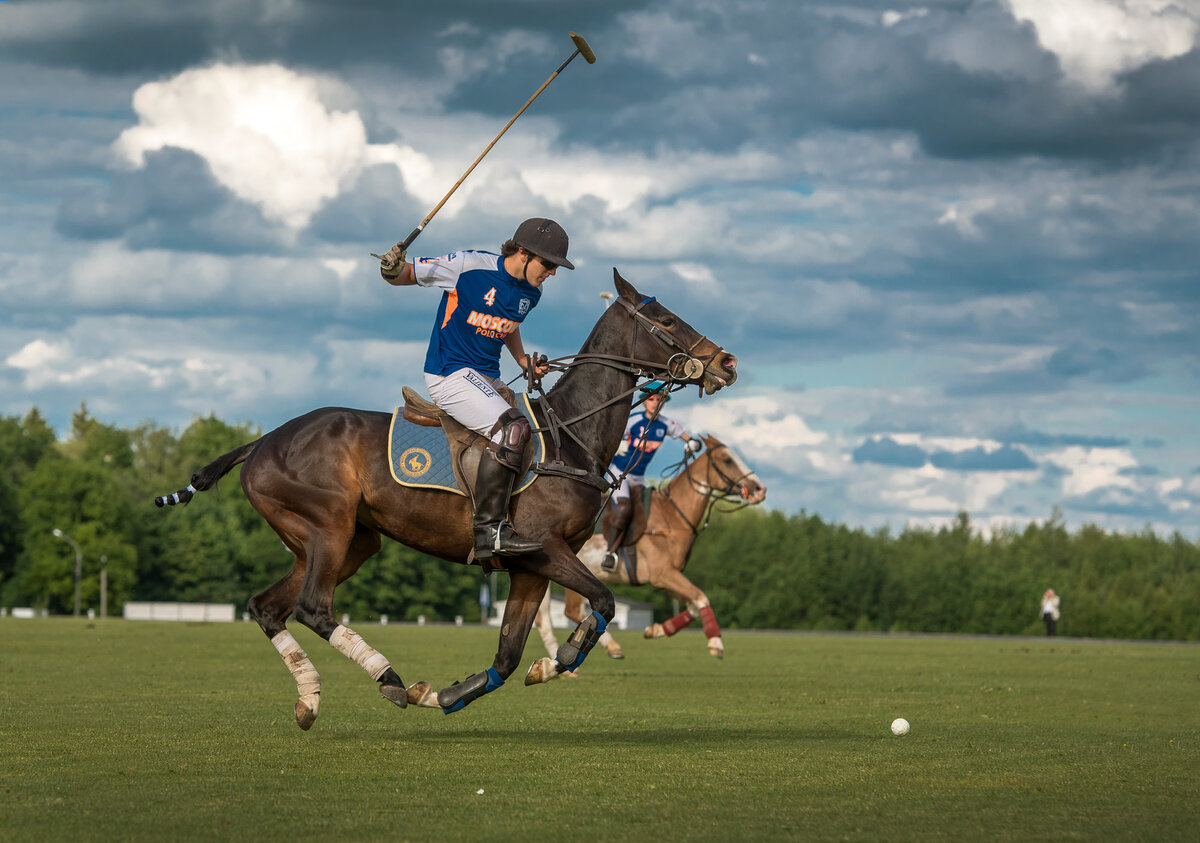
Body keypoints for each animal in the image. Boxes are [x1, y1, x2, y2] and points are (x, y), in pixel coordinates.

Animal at [157, 272, 739, 734]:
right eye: (665, 318)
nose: (728, 363)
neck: (569, 437)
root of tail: (261, 442)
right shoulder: (544, 548)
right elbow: (604, 601)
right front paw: (566, 658)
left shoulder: (530, 569)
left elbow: (509, 654)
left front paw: (457, 692)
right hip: (328, 528)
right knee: (311, 608)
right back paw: (388, 678)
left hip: (343, 542)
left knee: (267, 606)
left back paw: (311, 699)